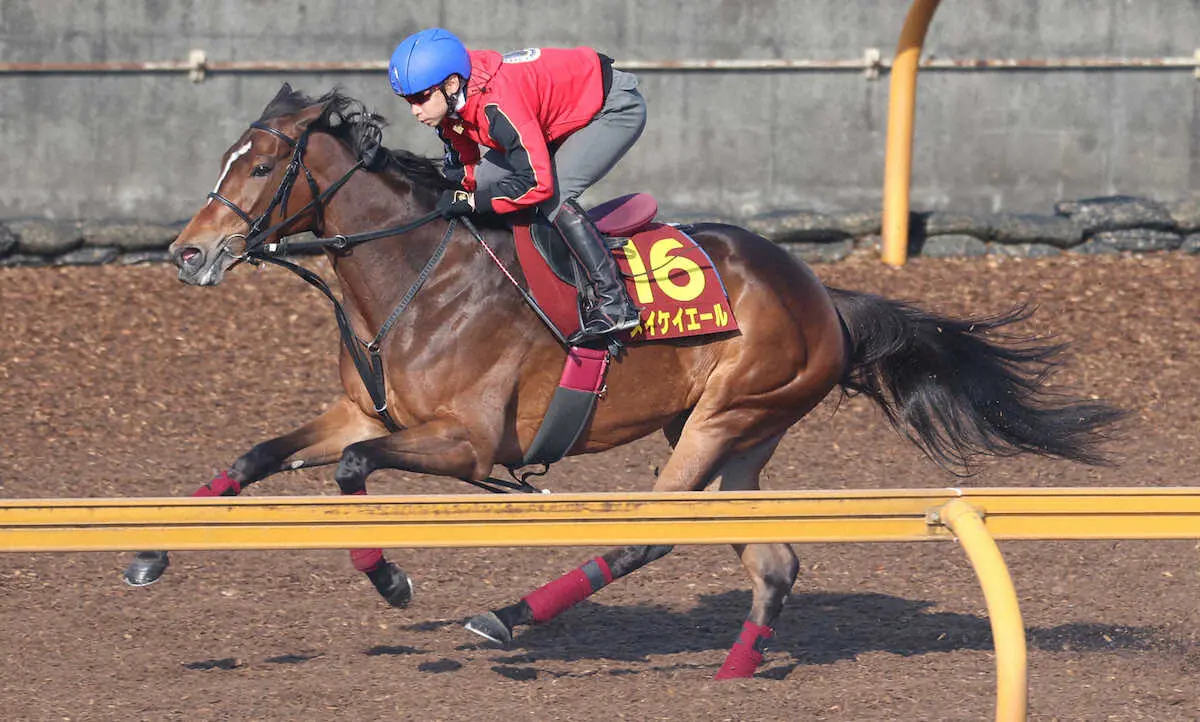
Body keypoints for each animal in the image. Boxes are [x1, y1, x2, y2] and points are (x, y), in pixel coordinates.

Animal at [129, 84, 1123, 676]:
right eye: (226, 159)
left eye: (262, 165)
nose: (188, 254)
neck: (415, 276)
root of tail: (822, 293)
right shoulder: (359, 409)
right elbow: (258, 455)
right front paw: (147, 551)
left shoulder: (467, 443)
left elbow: (347, 473)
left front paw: (394, 581)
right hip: (730, 436)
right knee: (774, 557)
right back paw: (735, 667)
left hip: (725, 417)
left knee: (652, 534)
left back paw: (508, 615)